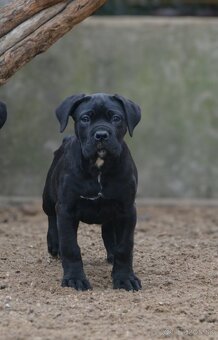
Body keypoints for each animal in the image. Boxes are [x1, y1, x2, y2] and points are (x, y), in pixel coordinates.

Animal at [42, 93, 141, 292]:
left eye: (116, 118)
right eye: (85, 118)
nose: (101, 134)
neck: (99, 167)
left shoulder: (127, 210)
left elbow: (125, 247)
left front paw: (124, 278)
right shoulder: (66, 209)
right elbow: (70, 247)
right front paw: (74, 279)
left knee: (108, 231)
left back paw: (111, 254)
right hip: (47, 198)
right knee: (51, 217)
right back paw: (54, 244)